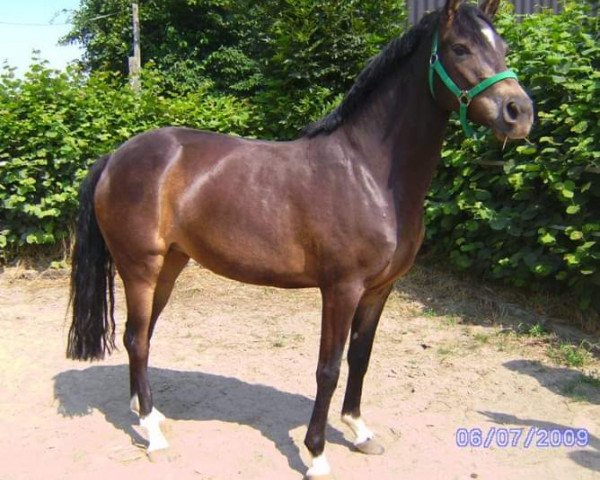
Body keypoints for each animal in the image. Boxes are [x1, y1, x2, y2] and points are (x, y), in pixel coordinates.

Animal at [67, 1, 536, 478]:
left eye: (502, 47)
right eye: (460, 48)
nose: (519, 111)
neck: (369, 173)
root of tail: (115, 157)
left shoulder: (379, 290)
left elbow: (360, 358)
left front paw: (359, 431)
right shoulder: (341, 289)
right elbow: (327, 368)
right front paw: (316, 454)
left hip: (170, 266)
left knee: (140, 336)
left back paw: (149, 416)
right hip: (140, 268)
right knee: (136, 339)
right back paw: (153, 434)